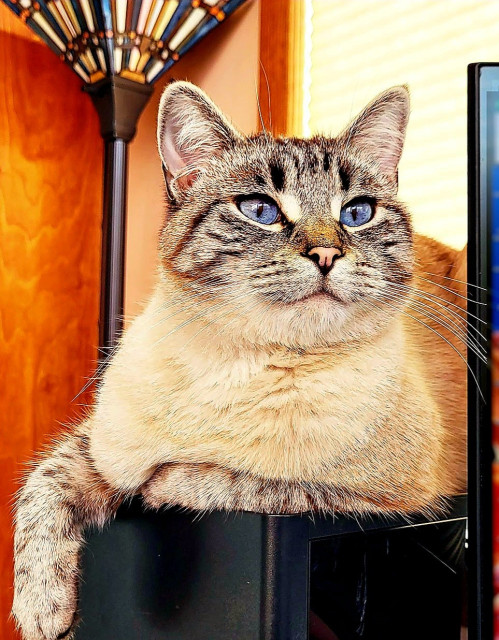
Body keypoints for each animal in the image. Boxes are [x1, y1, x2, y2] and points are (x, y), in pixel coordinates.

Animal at [14, 81, 468, 640]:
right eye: (259, 209)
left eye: (357, 213)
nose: (326, 254)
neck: (238, 365)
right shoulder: (104, 449)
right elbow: (45, 480)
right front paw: (42, 609)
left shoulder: (384, 499)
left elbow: (227, 478)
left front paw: (163, 484)